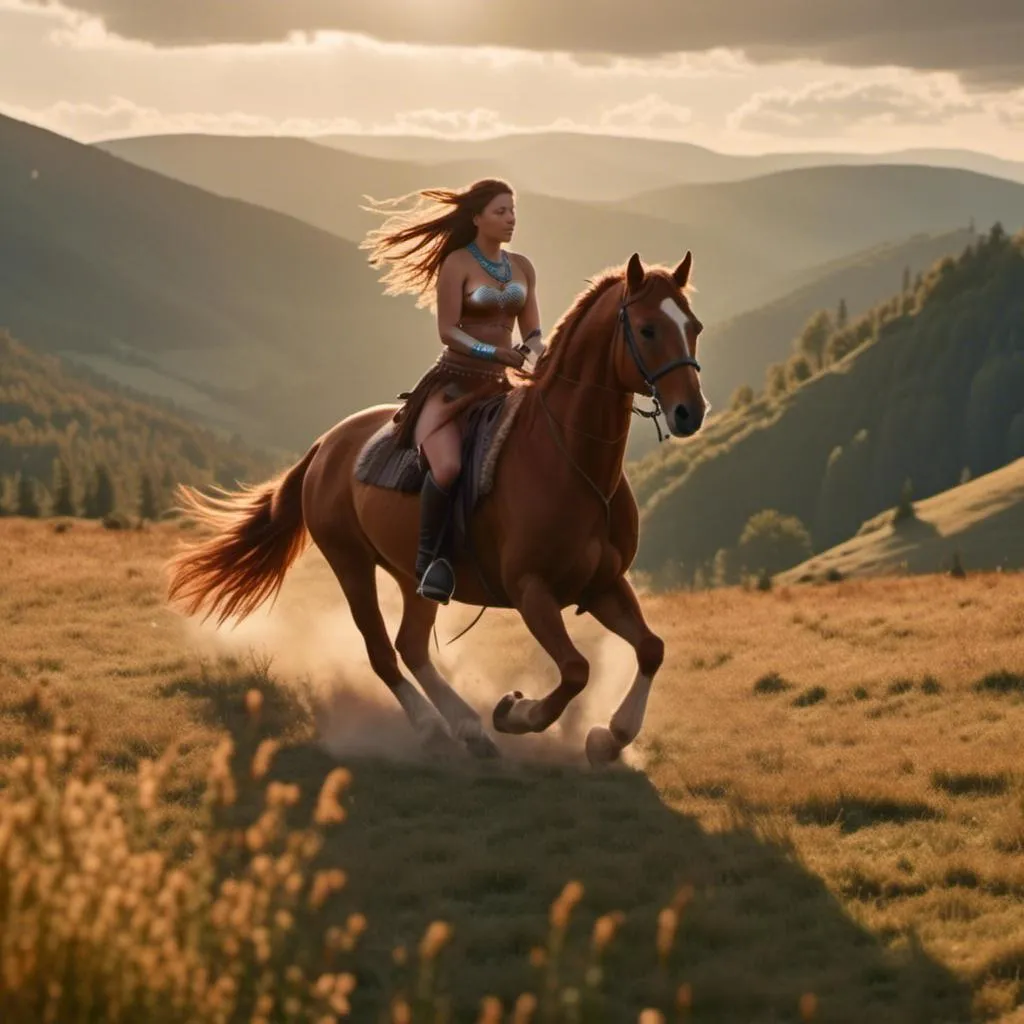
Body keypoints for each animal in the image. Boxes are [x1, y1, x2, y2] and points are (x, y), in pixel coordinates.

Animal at [169, 251, 712, 765]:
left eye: (694, 327)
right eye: (648, 329)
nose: (690, 412)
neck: (570, 460)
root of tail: (327, 444)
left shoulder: (602, 584)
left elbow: (651, 649)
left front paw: (608, 737)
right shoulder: (531, 590)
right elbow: (576, 670)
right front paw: (514, 712)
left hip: (412, 575)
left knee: (411, 645)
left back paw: (469, 729)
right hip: (350, 562)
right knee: (382, 651)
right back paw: (437, 729)